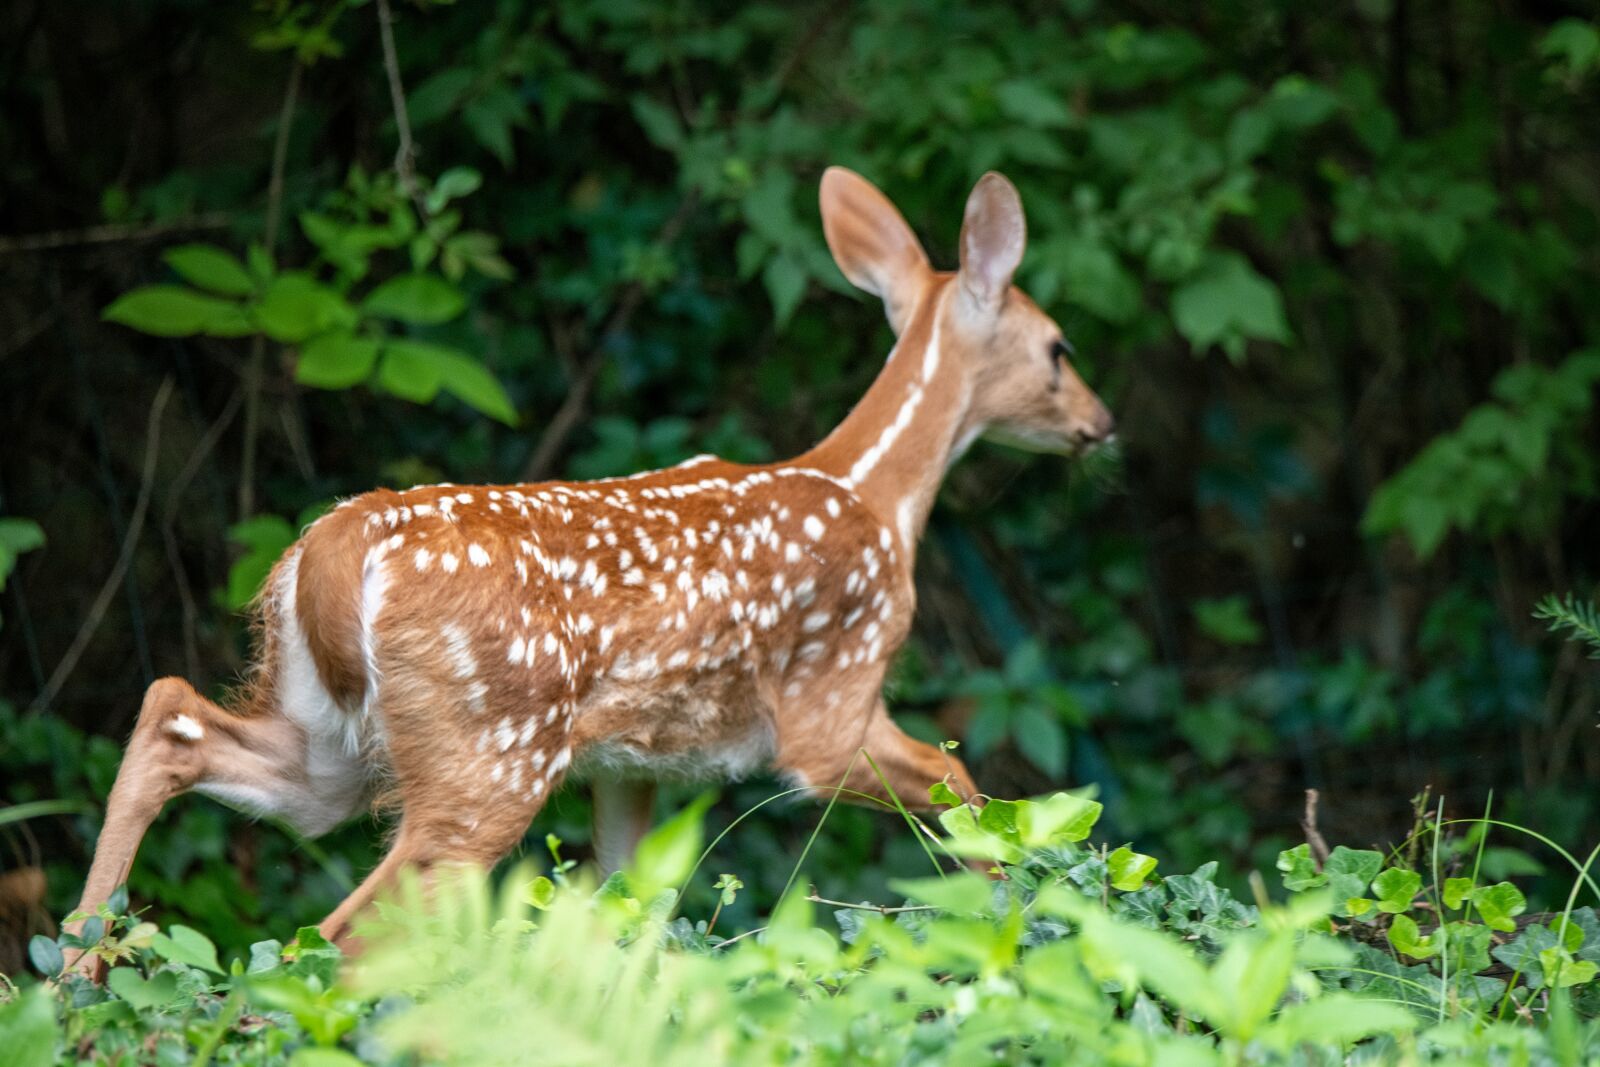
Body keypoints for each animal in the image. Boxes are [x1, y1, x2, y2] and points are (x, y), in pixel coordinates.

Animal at [65, 167, 1113, 966]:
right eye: (1059, 347)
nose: (1101, 424)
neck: (874, 490)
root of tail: (335, 546)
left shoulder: (630, 763)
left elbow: (627, 902)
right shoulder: (830, 700)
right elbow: (962, 786)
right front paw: (1017, 911)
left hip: (335, 742)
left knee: (172, 719)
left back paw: (76, 972)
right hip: (491, 746)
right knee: (344, 927)